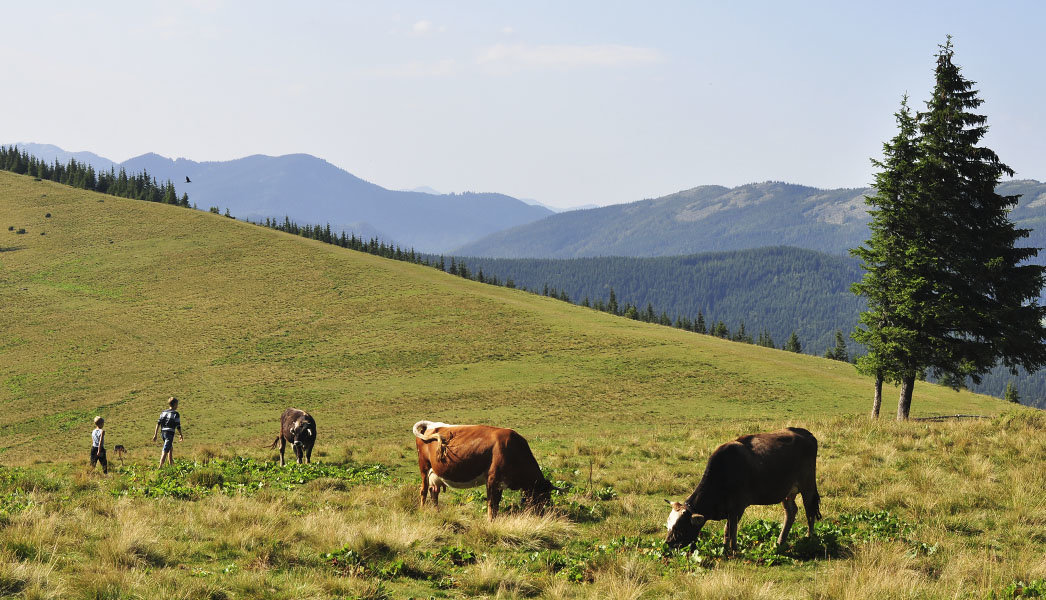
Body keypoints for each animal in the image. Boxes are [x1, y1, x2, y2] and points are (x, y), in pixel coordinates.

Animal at [412, 418, 556, 522]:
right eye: (543, 496)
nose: (546, 515)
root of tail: (430, 424)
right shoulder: (492, 479)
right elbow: (492, 502)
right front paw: (490, 520)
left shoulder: (500, 483)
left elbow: (496, 502)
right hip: (424, 467)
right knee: (423, 490)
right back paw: (422, 510)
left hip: (435, 474)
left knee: (434, 492)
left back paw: (436, 512)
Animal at [665, 428, 820, 556]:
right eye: (669, 524)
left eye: (680, 527)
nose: (668, 544)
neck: (723, 472)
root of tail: (807, 434)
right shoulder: (730, 510)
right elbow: (727, 530)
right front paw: (725, 548)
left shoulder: (737, 507)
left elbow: (731, 529)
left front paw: (733, 549)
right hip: (786, 492)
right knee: (791, 512)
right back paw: (780, 541)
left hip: (808, 486)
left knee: (809, 511)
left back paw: (809, 538)